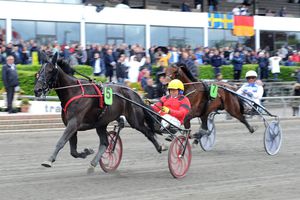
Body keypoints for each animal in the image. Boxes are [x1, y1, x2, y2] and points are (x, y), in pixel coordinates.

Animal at [34, 52, 164, 172]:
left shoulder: (74, 123)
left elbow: (61, 142)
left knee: (148, 132)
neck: (74, 91)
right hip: (101, 123)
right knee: (105, 143)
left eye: (50, 70)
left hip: (135, 120)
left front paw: (49, 160)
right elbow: (73, 151)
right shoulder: (71, 125)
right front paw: (86, 152)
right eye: (39, 71)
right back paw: (93, 164)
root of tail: (134, 93)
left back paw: (161, 147)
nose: (37, 90)